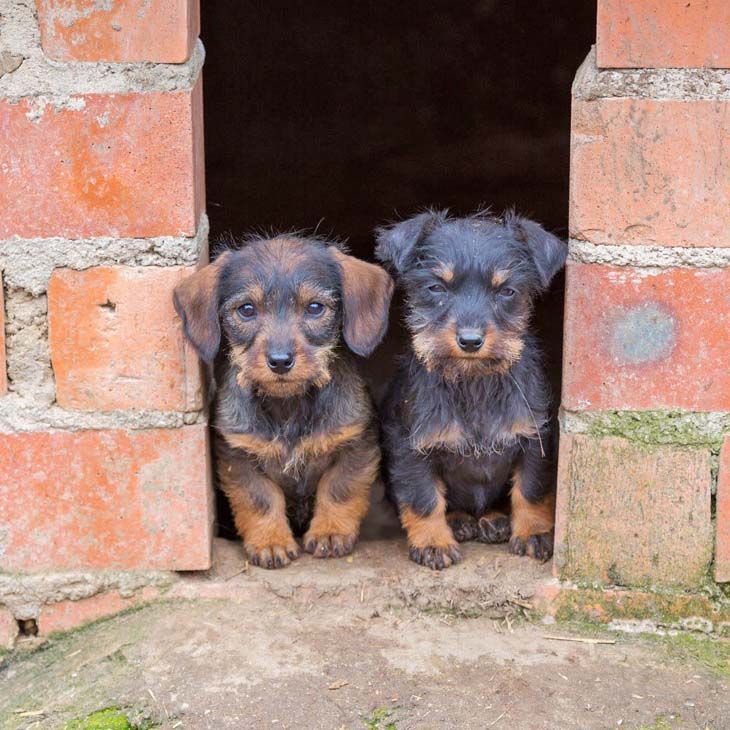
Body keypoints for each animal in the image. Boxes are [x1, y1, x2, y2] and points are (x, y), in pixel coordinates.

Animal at [173, 236, 392, 564]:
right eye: (246, 309)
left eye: (314, 307)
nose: (279, 361)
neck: (289, 406)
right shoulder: (238, 455)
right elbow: (260, 498)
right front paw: (270, 542)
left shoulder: (356, 444)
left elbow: (338, 488)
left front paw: (330, 533)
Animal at [376, 210, 568, 568]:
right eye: (436, 287)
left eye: (506, 292)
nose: (470, 340)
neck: (474, 379)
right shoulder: (410, 446)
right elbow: (423, 497)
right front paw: (433, 542)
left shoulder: (535, 438)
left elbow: (531, 490)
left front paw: (533, 532)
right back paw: (459, 522)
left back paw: (494, 519)